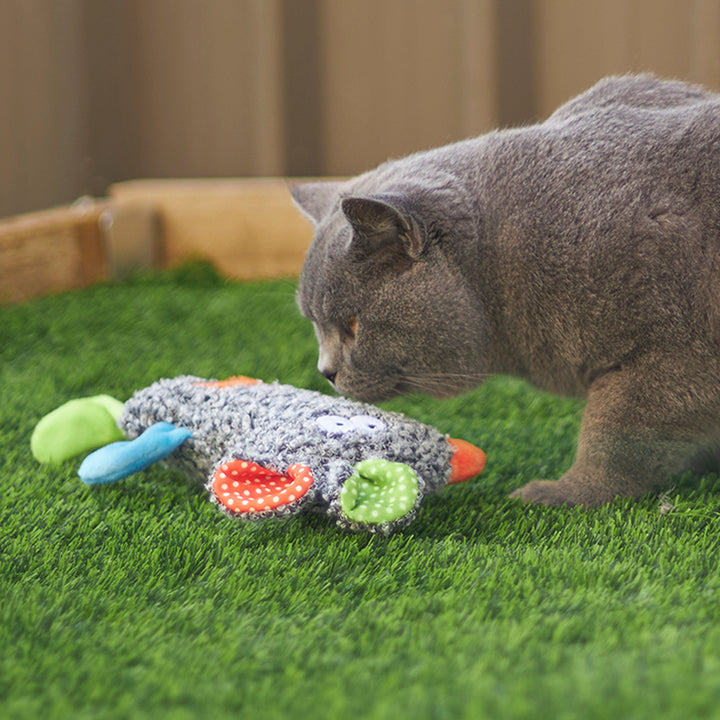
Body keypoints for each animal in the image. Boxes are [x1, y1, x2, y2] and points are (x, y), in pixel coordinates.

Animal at [290, 74, 720, 506]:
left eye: (353, 324)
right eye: (315, 324)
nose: (325, 372)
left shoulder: (676, 357)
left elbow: (616, 434)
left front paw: (564, 494)